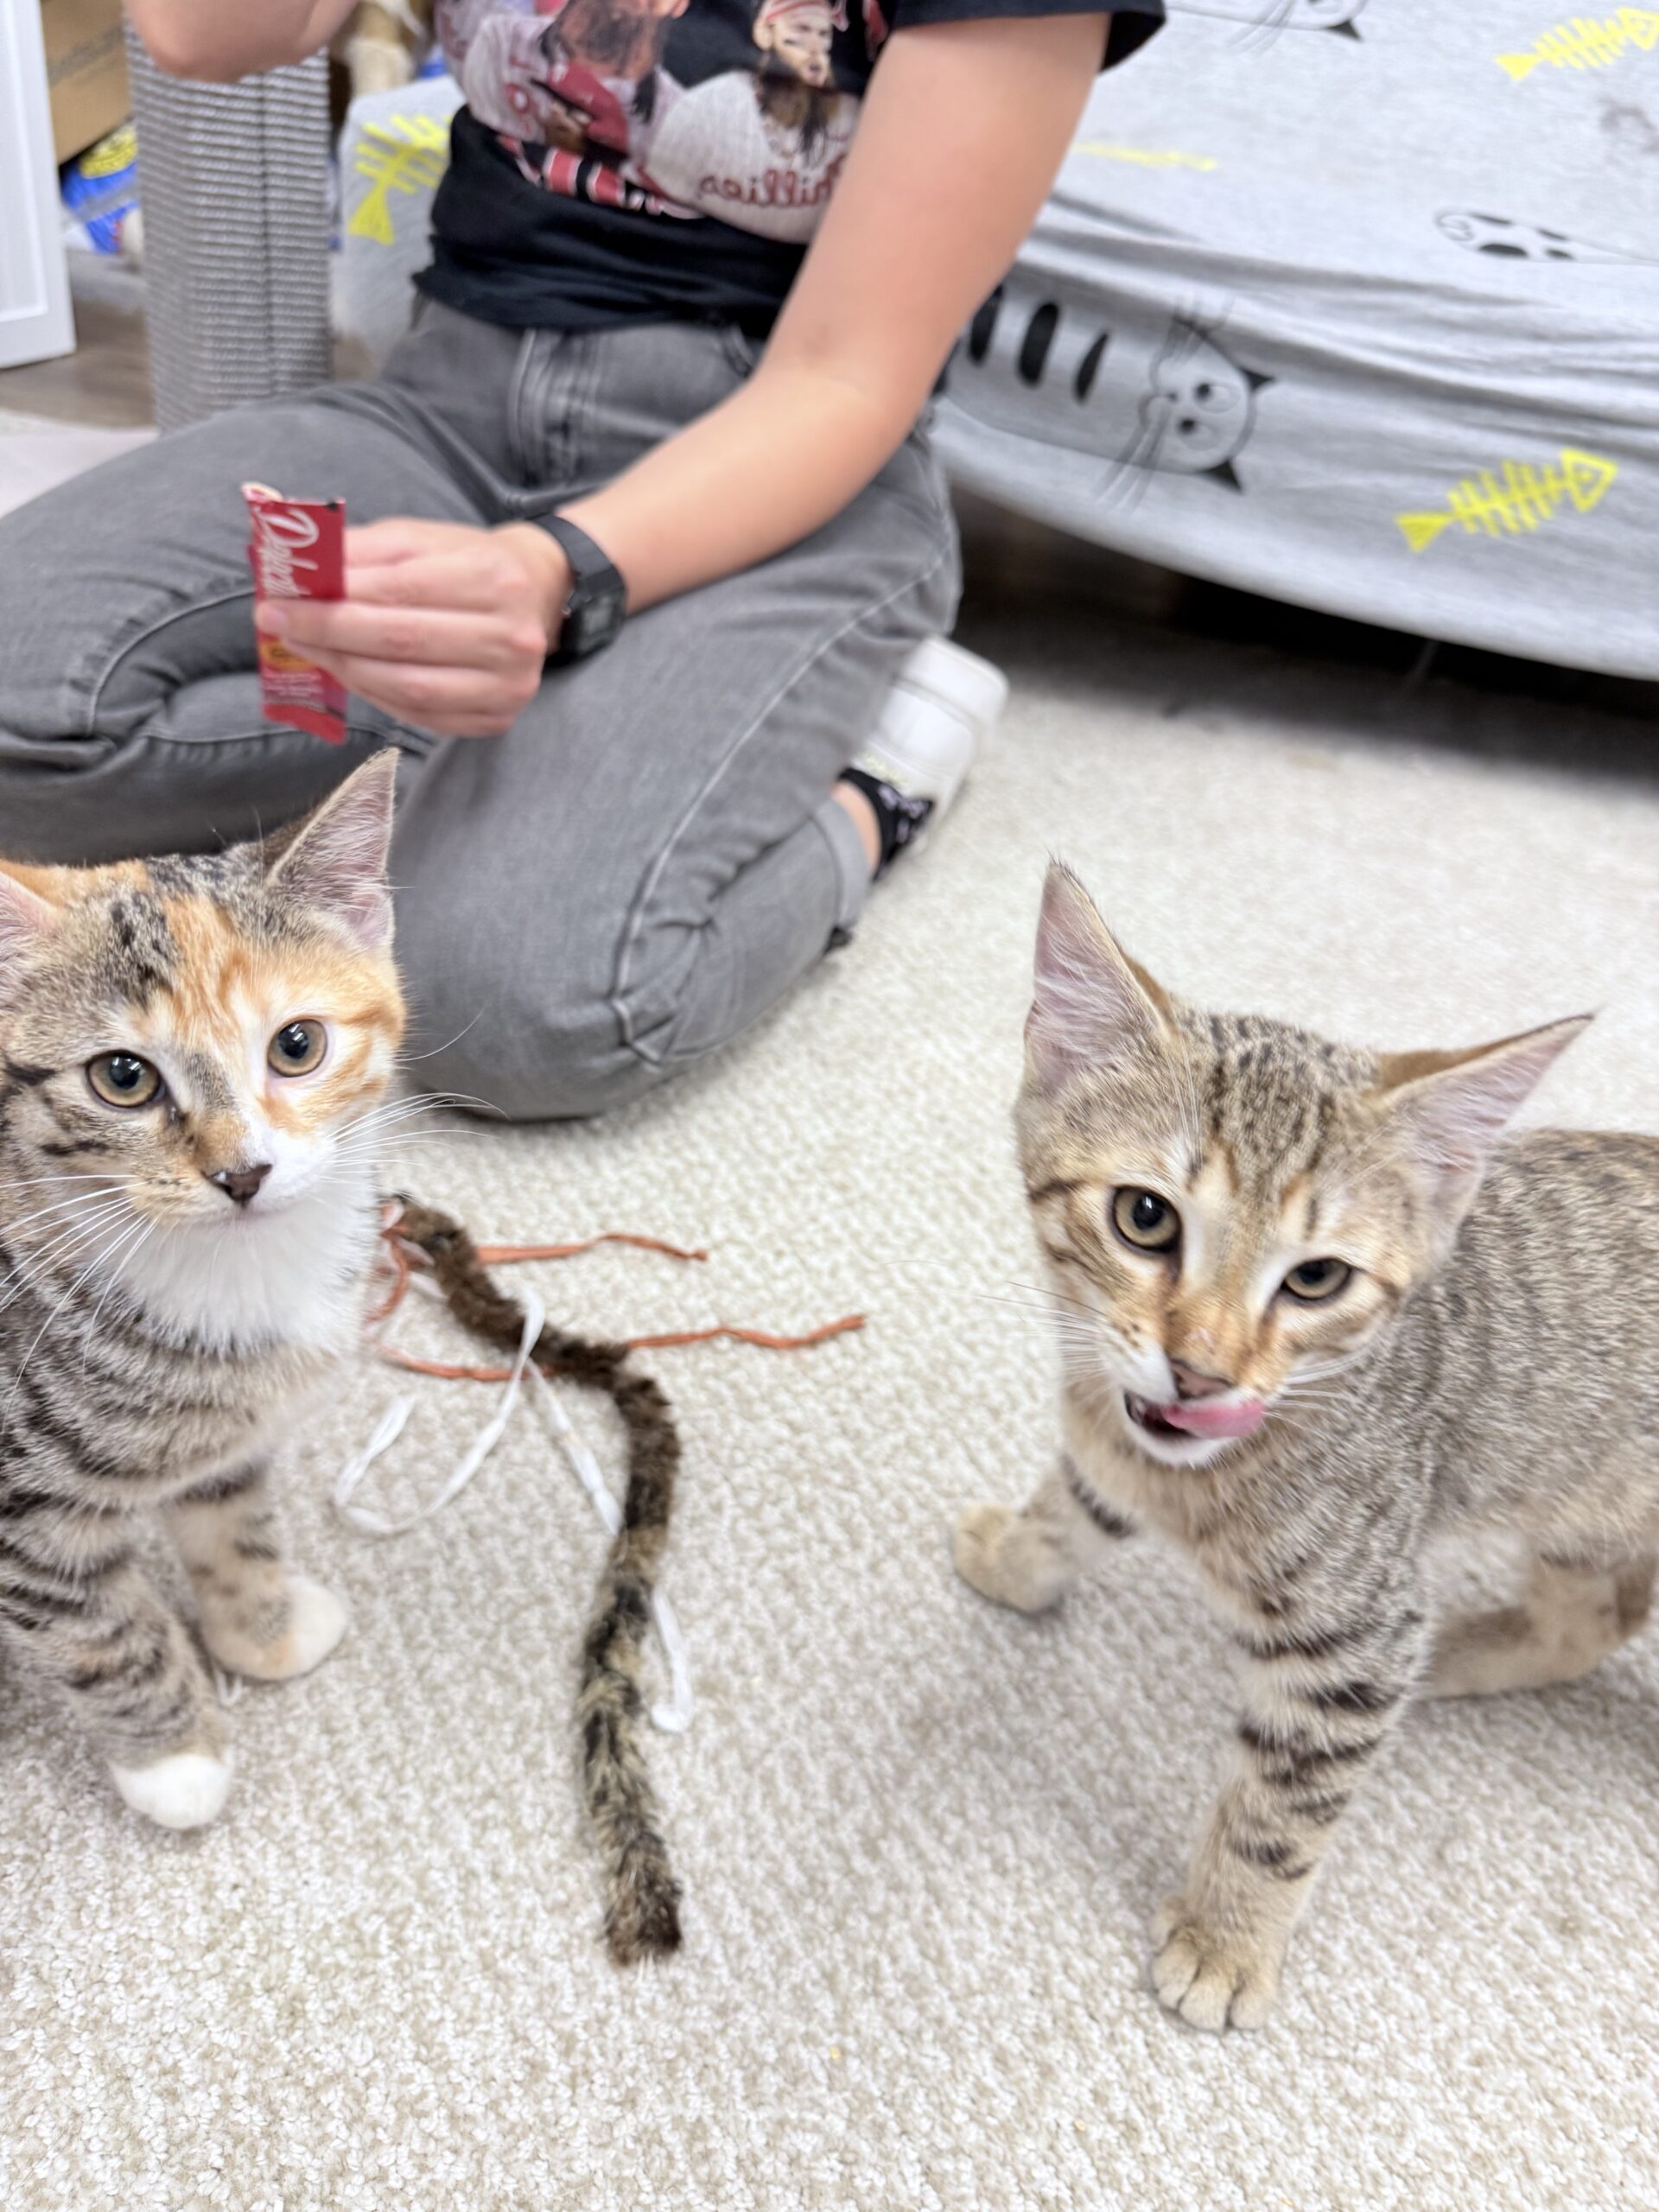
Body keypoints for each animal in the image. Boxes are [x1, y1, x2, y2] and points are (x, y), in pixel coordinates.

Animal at [0, 755, 402, 1832]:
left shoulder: (226, 1421)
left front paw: (263, 1626)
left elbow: (231, 1515)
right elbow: (99, 1632)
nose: (242, 1173)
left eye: (297, 1045)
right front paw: (175, 1759)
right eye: (123, 1076)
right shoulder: (15, 1510)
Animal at [955, 863, 1658, 2031]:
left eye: (1317, 1278)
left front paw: (1226, 1938)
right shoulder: (1121, 1449)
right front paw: (1017, 1553)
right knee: (1595, 1616)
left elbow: (1283, 1806)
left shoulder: (1357, 1632)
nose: (1201, 1371)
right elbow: (1077, 1502)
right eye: (1144, 1216)